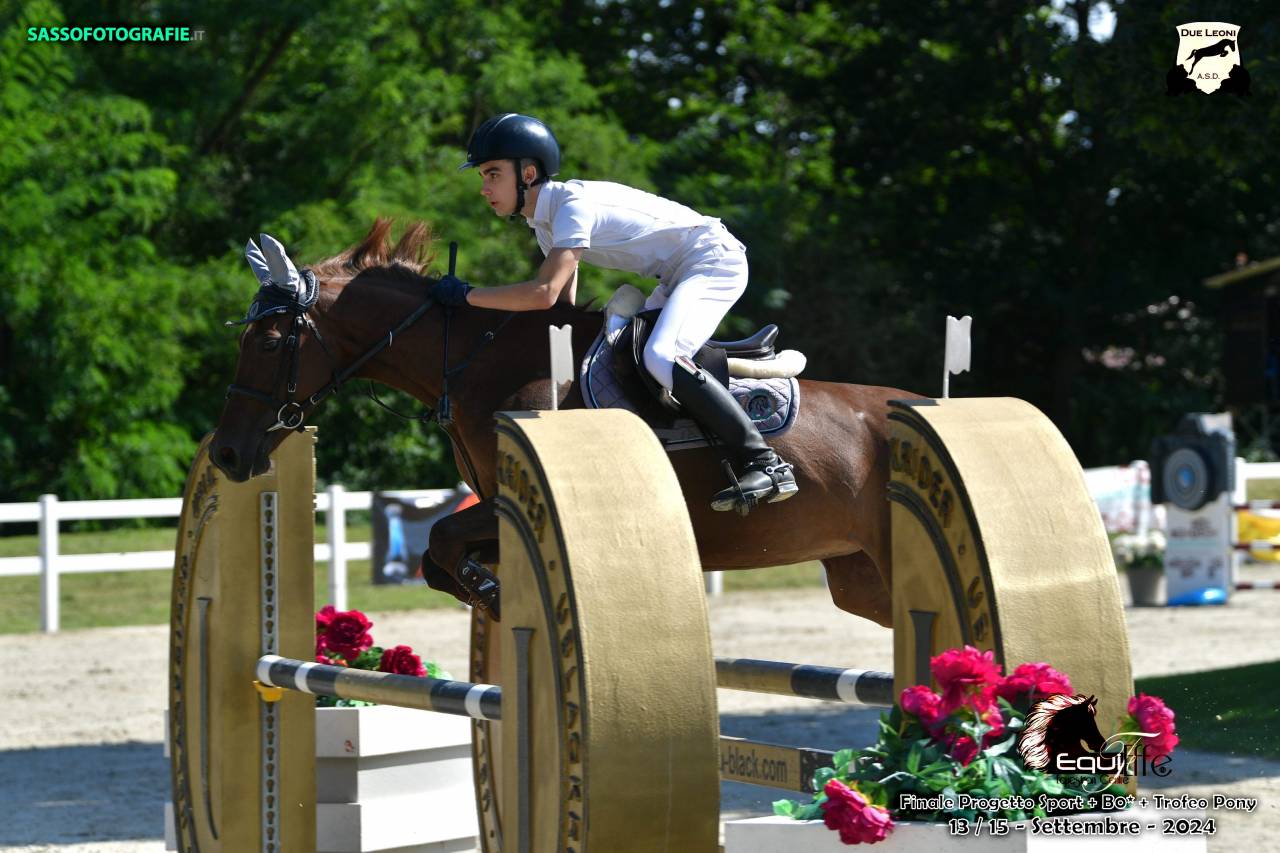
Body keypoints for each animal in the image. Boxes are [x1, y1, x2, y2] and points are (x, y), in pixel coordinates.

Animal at [211, 219, 919, 628]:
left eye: (268, 343)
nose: (226, 454)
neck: (479, 361)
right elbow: (437, 557)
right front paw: (489, 594)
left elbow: (440, 538)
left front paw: (495, 597)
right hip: (860, 578)